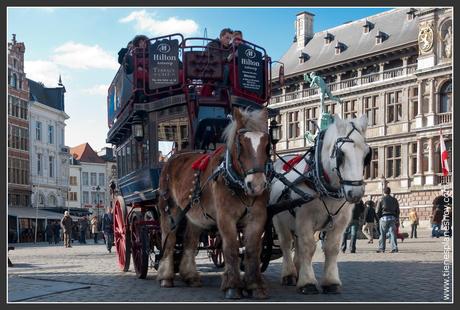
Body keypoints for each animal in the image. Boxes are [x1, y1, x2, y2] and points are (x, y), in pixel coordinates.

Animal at [158, 106, 272, 298]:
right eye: (241, 144)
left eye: (267, 144)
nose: (256, 185)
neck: (235, 181)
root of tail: (172, 159)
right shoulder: (225, 218)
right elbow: (232, 248)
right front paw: (233, 286)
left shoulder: (258, 217)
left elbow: (252, 250)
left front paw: (255, 285)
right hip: (169, 211)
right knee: (169, 240)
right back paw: (166, 277)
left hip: (194, 214)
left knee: (189, 241)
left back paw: (190, 276)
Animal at [270, 115, 370, 294]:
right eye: (341, 154)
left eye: (367, 155)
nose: (356, 193)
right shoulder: (304, 219)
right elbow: (308, 247)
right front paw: (308, 282)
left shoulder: (341, 221)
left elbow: (332, 248)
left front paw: (331, 281)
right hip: (279, 220)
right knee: (286, 244)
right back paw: (289, 274)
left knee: (297, 244)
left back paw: (298, 269)